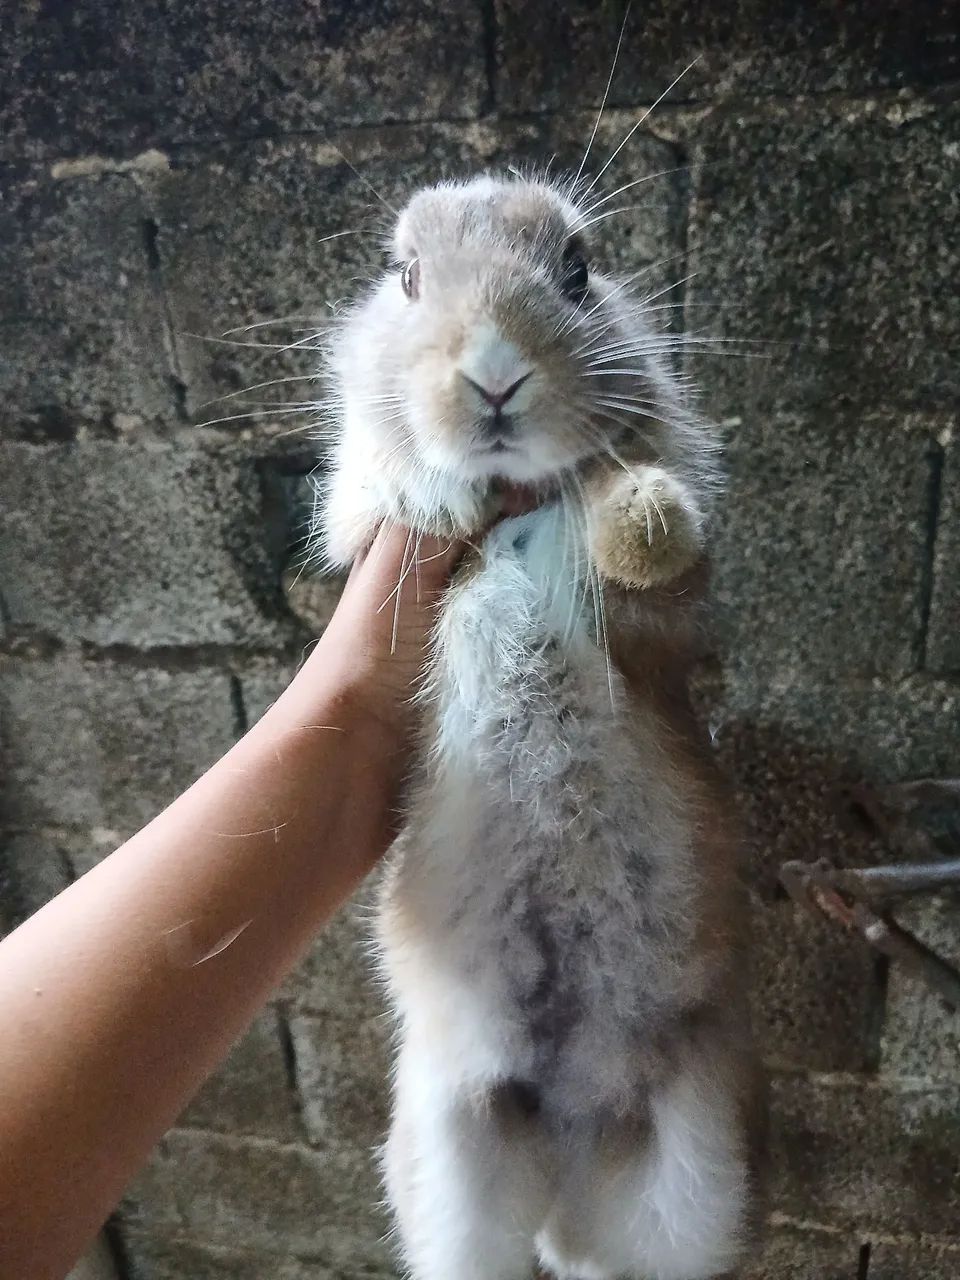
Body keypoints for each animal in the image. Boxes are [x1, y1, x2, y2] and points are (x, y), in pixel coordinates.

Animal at [318, 172, 764, 1280]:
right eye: (406, 277)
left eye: (578, 269)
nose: (492, 375)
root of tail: (570, 1149)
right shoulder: (359, 536)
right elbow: (364, 498)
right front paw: (435, 494)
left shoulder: (663, 623)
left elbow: (653, 543)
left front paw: (641, 518)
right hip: (447, 1158)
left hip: (698, 1175)